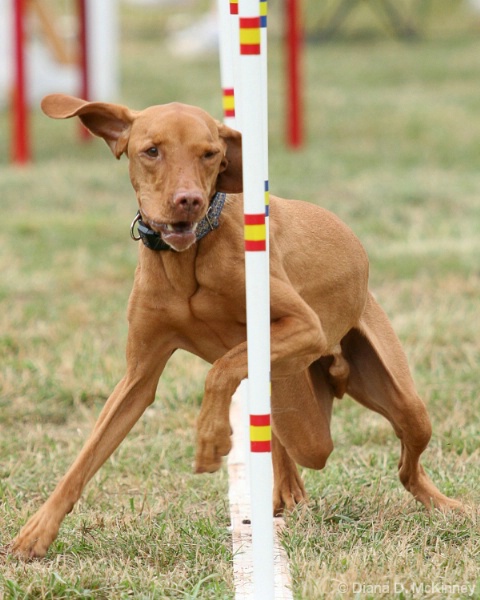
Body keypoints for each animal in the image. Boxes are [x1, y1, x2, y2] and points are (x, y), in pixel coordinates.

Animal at [12, 94, 462, 556]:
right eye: (152, 150)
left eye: (210, 154)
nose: (189, 200)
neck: (187, 260)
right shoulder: (138, 376)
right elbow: (87, 455)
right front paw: (36, 533)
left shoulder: (305, 327)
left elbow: (220, 368)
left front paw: (211, 438)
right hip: (300, 406)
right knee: (287, 435)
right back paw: (286, 490)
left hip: (400, 403)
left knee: (406, 464)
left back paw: (444, 504)